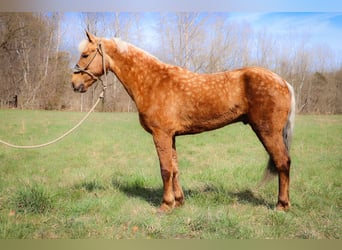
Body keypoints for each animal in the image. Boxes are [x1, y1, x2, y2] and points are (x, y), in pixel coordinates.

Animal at [71, 30, 296, 211]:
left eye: (85, 54)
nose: (74, 83)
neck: (152, 81)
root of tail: (283, 81)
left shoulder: (160, 134)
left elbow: (165, 170)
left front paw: (165, 205)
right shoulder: (171, 136)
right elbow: (175, 169)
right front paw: (178, 201)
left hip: (268, 132)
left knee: (283, 162)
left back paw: (282, 205)